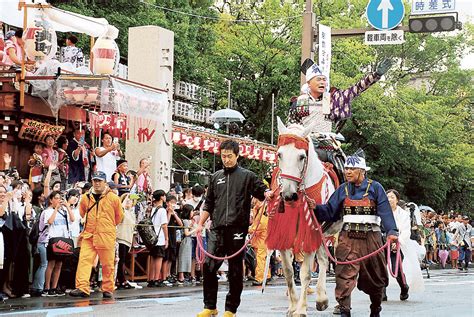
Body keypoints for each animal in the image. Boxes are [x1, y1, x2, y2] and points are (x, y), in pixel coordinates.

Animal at [270, 118, 344, 316]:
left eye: (302, 156)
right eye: (279, 154)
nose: (288, 194)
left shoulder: (310, 232)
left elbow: (305, 273)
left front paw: (301, 308)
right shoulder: (284, 234)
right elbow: (289, 271)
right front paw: (292, 306)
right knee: (324, 259)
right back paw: (321, 299)